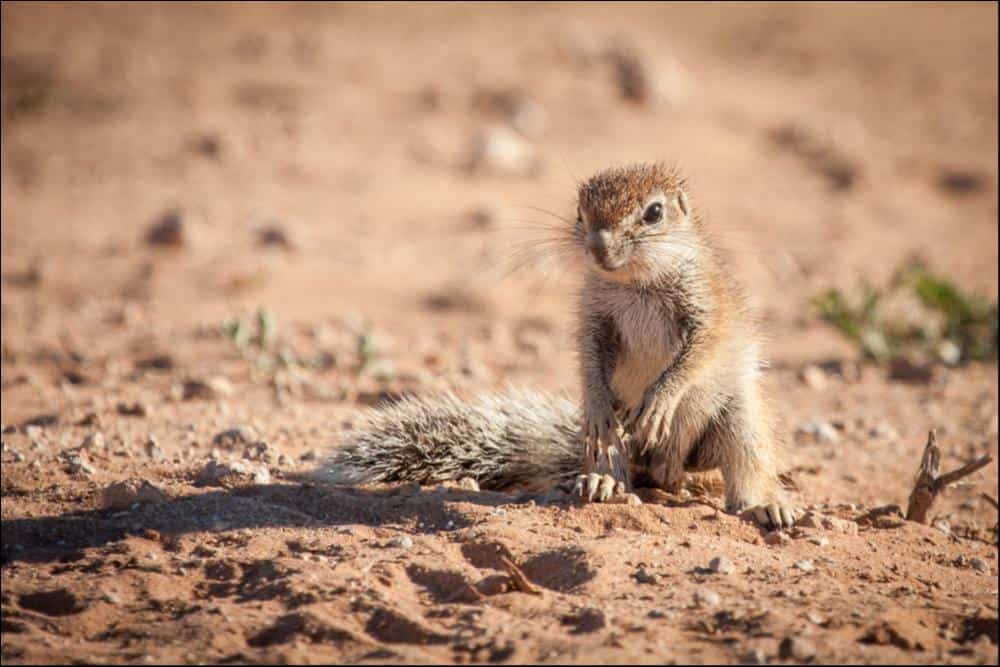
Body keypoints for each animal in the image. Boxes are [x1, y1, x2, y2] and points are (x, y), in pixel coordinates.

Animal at [320, 160, 796, 528]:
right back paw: (604, 482)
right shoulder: (594, 317)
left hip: (738, 421)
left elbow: (698, 353)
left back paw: (764, 507)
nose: (598, 245)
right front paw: (600, 401)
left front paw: (662, 398)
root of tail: (670, 468)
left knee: (748, 465)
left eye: (654, 212)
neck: (637, 283)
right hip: (607, 440)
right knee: (613, 455)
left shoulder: (708, 309)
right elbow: (590, 359)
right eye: (581, 212)